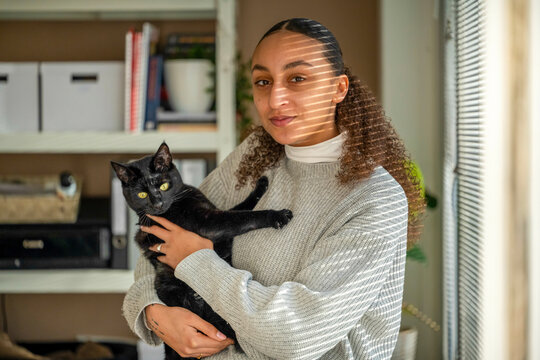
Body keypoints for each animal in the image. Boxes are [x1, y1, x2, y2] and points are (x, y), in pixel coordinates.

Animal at [111, 142, 294, 358]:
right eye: (142, 194)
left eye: (163, 185)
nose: (157, 204)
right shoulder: (208, 223)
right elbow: (244, 217)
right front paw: (277, 216)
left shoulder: (215, 213)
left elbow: (241, 207)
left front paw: (262, 185)